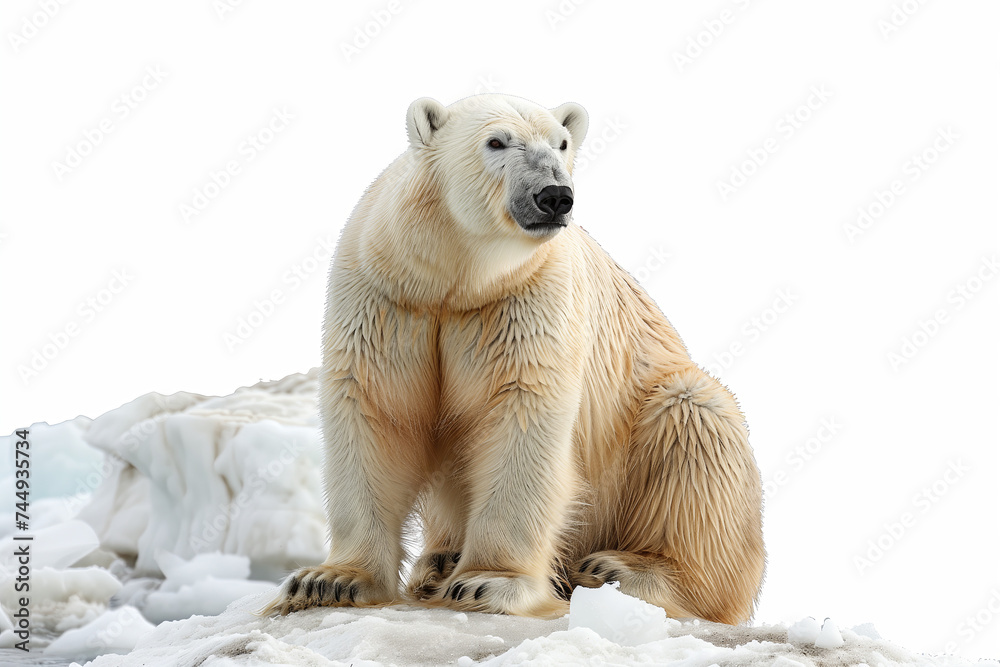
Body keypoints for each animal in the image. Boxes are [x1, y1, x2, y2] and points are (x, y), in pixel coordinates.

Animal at [262, 93, 765, 624]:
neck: (455, 281)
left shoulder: (526, 297)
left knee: (695, 431)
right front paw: (328, 580)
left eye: (562, 143)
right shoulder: (388, 298)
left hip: (655, 415)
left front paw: (487, 582)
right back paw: (439, 561)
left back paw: (618, 569)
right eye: (497, 142)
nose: (555, 195)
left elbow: (520, 416)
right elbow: (375, 408)